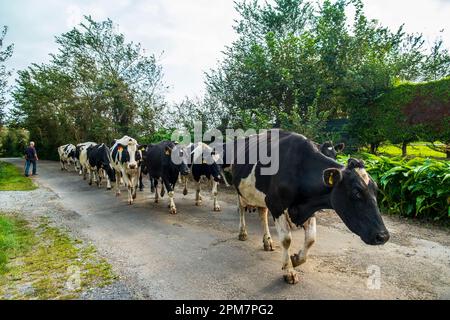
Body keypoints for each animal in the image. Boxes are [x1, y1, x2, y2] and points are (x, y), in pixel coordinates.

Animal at [230, 129, 388, 284]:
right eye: (356, 192)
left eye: (376, 190)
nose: (383, 236)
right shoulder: (276, 204)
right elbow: (286, 240)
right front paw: (289, 271)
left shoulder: (308, 207)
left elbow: (311, 239)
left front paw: (296, 260)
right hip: (240, 190)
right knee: (242, 209)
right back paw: (243, 232)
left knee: (262, 213)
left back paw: (267, 241)